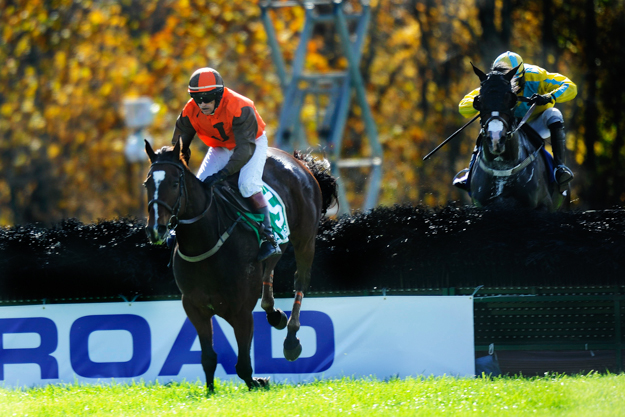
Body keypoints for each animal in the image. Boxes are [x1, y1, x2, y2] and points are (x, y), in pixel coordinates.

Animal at [143, 138, 336, 392]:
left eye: (175, 183)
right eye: (147, 184)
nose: (156, 229)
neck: (205, 241)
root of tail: (297, 161)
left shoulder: (241, 309)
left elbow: (243, 364)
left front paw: (258, 381)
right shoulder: (194, 306)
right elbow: (208, 357)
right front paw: (210, 392)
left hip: (305, 238)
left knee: (300, 280)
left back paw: (291, 340)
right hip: (279, 242)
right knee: (270, 263)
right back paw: (274, 314)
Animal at [468, 63, 564, 210]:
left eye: (510, 99)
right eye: (479, 100)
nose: (495, 139)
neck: (502, 168)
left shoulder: (543, 205)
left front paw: (542, 98)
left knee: (553, 115)